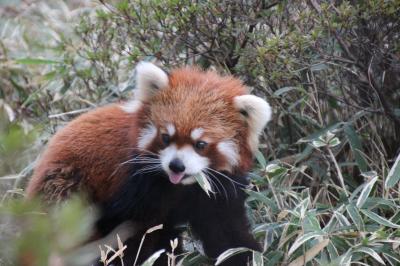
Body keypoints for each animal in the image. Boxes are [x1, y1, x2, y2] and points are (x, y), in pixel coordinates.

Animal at [25, 62, 272, 266]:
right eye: (166, 137)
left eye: (200, 144)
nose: (176, 166)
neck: (179, 188)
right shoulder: (132, 187)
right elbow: (130, 239)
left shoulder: (215, 192)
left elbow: (227, 236)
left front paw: (247, 256)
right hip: (66, 190)